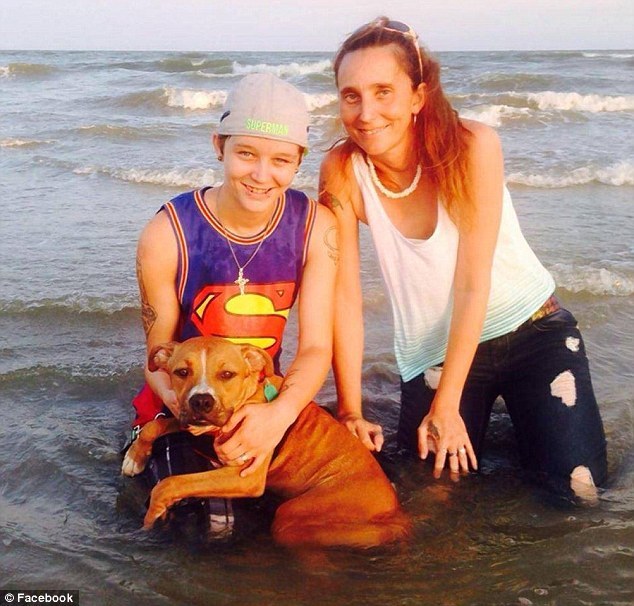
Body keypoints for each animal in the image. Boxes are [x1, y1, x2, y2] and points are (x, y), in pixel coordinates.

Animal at [122, 336, 410, 548]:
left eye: (227, 374)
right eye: (182, 372)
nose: (202, 400)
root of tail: (393, 509)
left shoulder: (245, 477)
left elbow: (170, 483)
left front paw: (149, 519)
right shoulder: (191, 422)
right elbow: (156, 424)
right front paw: (135, 456)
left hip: (295, 515)